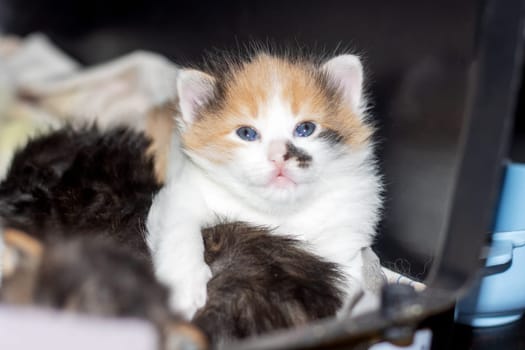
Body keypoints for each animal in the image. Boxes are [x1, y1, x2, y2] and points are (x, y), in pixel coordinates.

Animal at [146, 52, 380, 320]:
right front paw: (184, 286)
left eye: (305, 129)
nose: (279, 156)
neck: (279, 213)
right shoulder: (181, 191)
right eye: (247, 133)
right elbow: (179, 227)